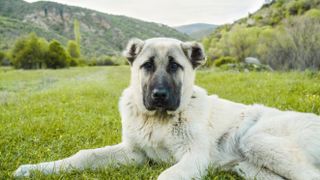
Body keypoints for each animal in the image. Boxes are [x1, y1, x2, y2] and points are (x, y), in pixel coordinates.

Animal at [14, 37, 320, 179]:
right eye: (147, 65)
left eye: (175, 66)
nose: (159, 95)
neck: (158, 121)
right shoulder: (134, 153)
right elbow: (84, 155)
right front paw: (36, 169)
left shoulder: (195, 157)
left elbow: (167, 174)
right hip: (252, 169)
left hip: (256, 140)